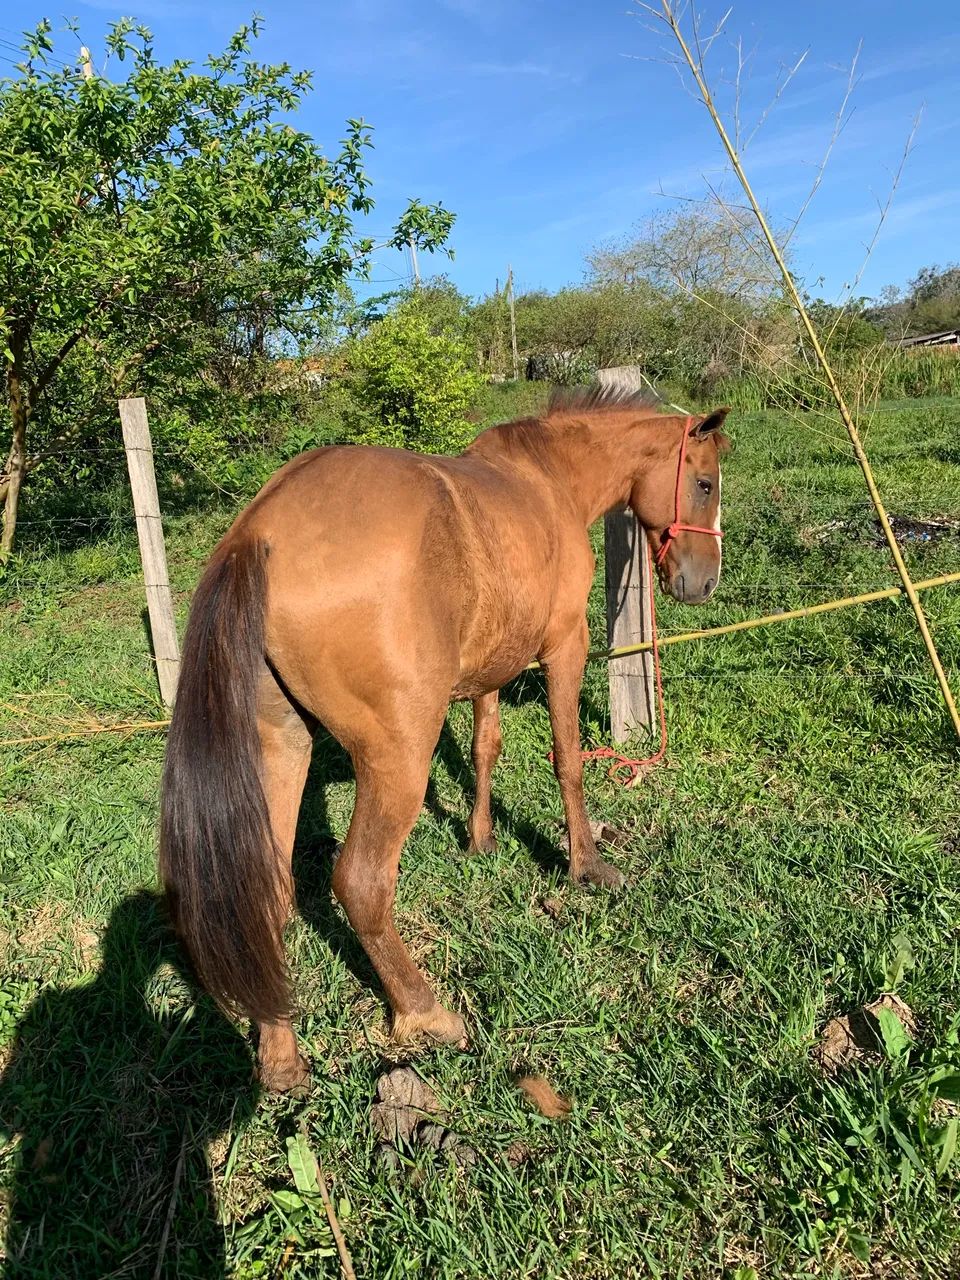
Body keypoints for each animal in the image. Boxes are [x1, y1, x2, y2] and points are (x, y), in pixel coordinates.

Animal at [160, 387, 730, 1091]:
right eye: (703, 483)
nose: (704, 581)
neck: (549, 479)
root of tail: (258, 532)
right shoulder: (565, 648)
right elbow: (567, 759)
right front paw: (586, 865)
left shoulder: (490, 669)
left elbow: (487, 747)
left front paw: (480, 838)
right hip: (398, 757)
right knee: (361, 884)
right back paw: (426, 1012)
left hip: (282, 747)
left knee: (267, 893)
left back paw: (281, 1054)